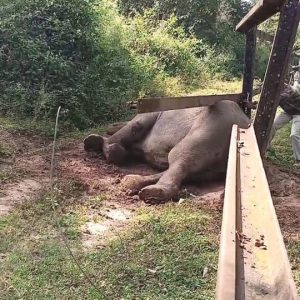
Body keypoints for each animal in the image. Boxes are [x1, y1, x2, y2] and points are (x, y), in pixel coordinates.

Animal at [84, 100, 251, 202]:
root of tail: (244, 123)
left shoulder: (149, 113)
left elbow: (135, 125)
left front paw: (103, 147)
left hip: (211, 127)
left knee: (180, 156)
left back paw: (151, 192)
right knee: (191, 171)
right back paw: (132, 183)